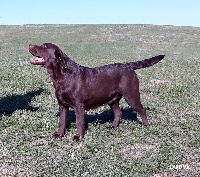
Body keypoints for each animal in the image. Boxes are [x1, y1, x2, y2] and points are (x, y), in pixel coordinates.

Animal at [28, 42, 165, 141]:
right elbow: (62, 121)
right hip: (112, 99)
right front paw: (59, 134)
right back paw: (113, 126)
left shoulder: (78, 105)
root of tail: (128, 66)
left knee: (142, 109)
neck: (62, 76)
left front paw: (78, 137)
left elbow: (79, 122)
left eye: (44, 46)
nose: (29, 44)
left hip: (131, 95)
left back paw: (146, 126)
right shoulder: (62, 105)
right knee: (118, 112)